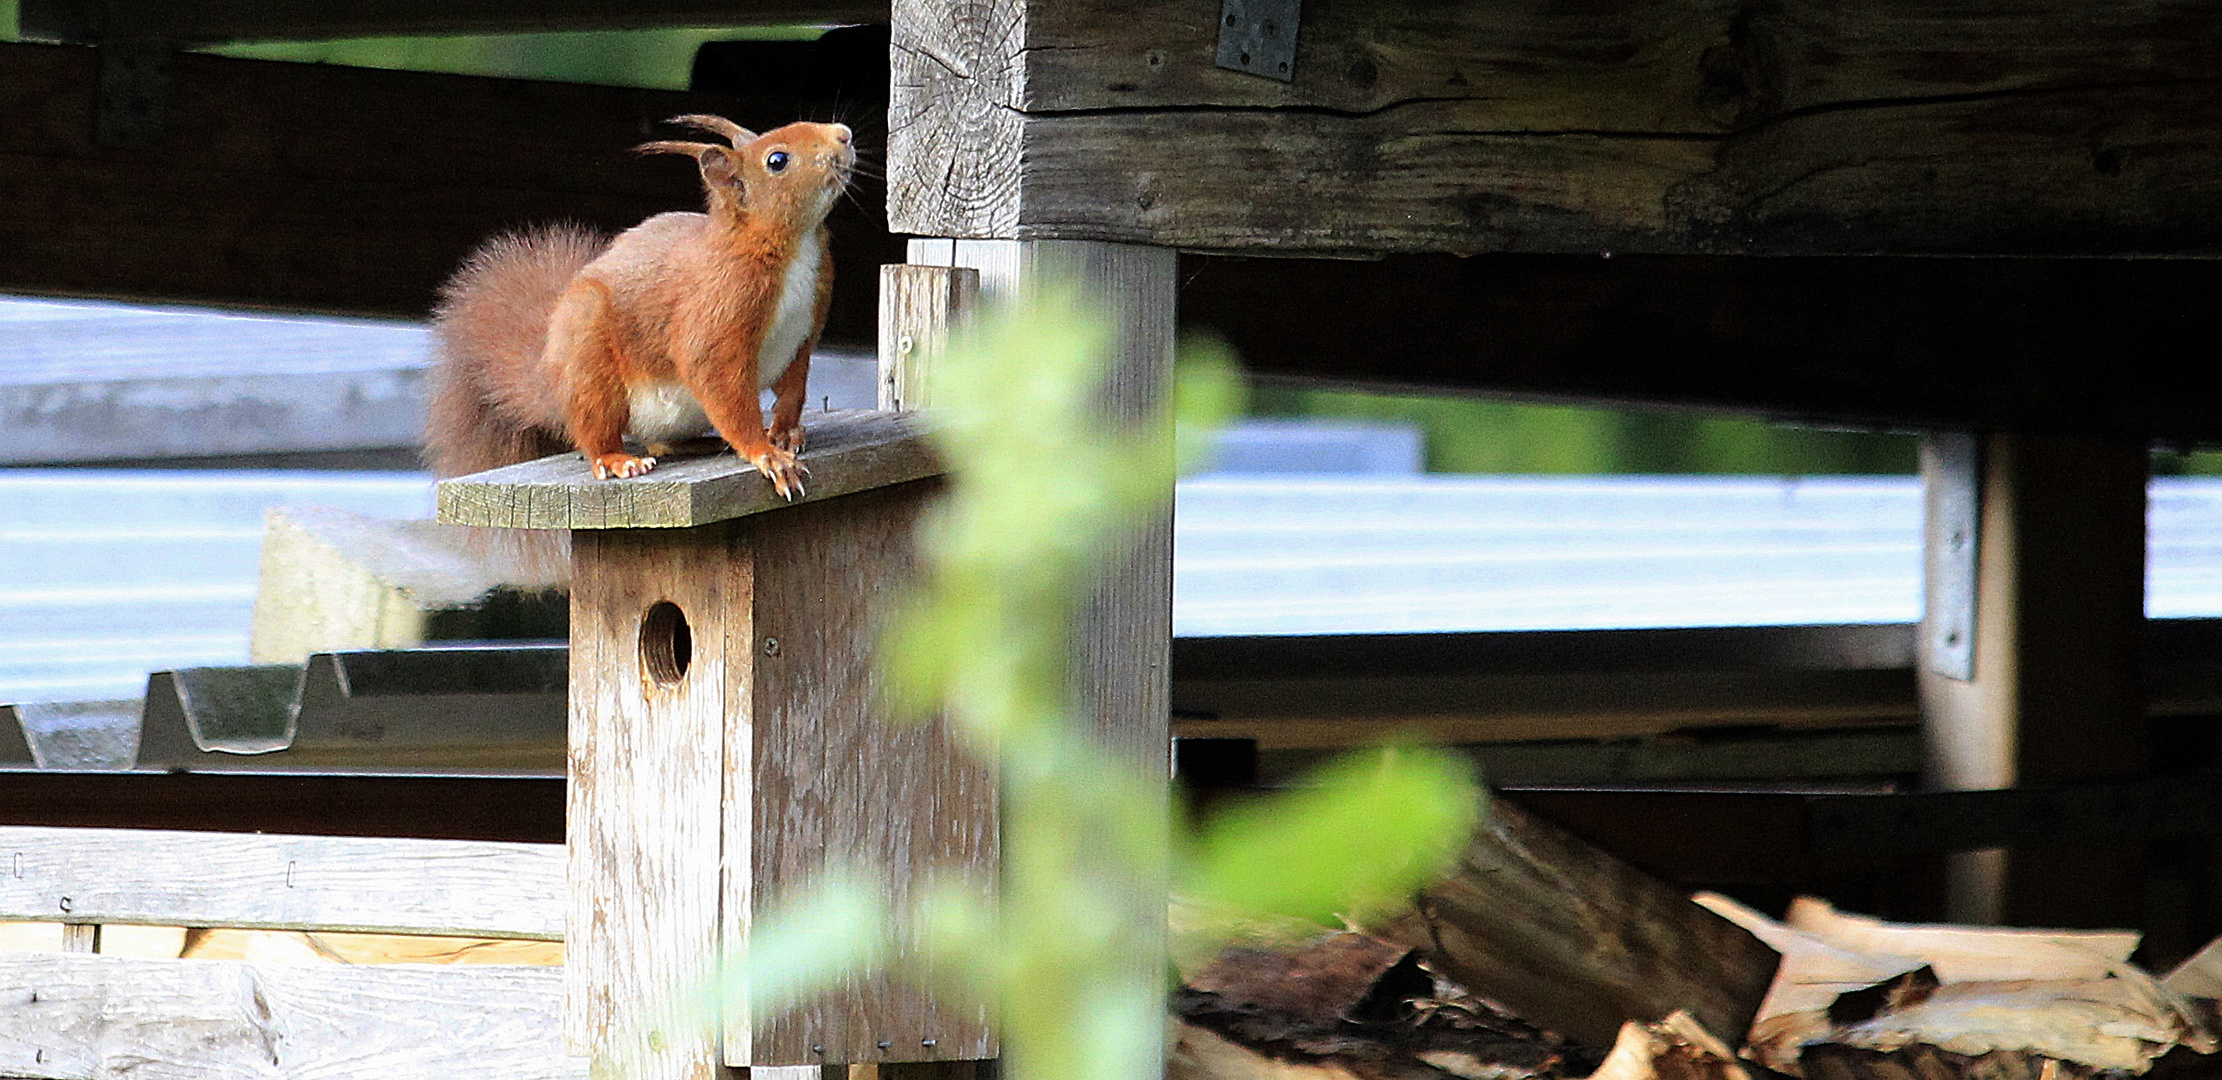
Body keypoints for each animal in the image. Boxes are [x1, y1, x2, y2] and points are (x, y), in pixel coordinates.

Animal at [424, 115, 848, 497]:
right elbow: (718, 382)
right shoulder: (715, 309)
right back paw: (615, 459)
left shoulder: (803, 333)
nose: (842, 135)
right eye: (777, 160)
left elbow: (793, 387)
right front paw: (765, 453)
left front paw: (784, 433)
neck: (793, 245)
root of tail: (551, 377)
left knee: (662, 442)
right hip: (590, 365)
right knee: (595, 430)